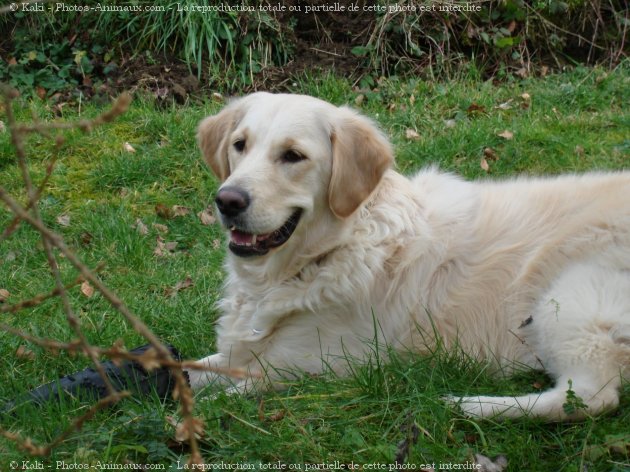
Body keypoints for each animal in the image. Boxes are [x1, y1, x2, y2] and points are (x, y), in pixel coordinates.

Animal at [189, 92, 630, 420]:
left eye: (293, 155)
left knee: (593, 396)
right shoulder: (240, 352)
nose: (227, 201)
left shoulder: (315, 365)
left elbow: (229, 393)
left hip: (567, 295)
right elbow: (191, 368)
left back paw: (472, 405)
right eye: (240, 145)